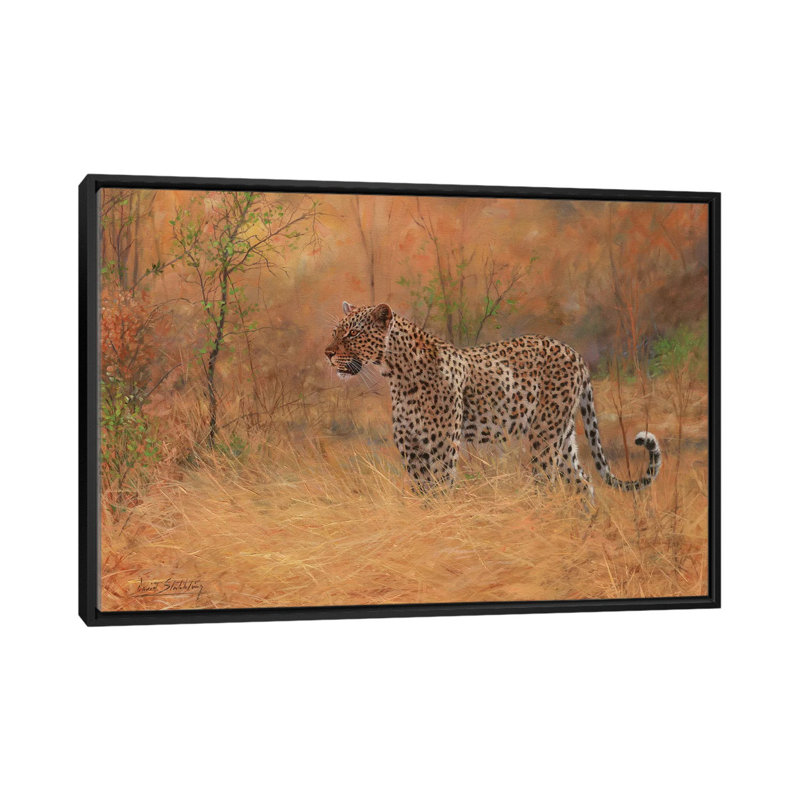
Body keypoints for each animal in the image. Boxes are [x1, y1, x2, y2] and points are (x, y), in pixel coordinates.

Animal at [324, 301, 662, 497]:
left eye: (352, 334)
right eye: (335, 331)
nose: (327, 354)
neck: (397, 372)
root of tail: (574, 352)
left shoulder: (442, 447)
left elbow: (442, 491)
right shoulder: (412, 449)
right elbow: (424, 495)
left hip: (544, 436)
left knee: (550, 484)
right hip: (563, 436)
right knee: (583, 483)